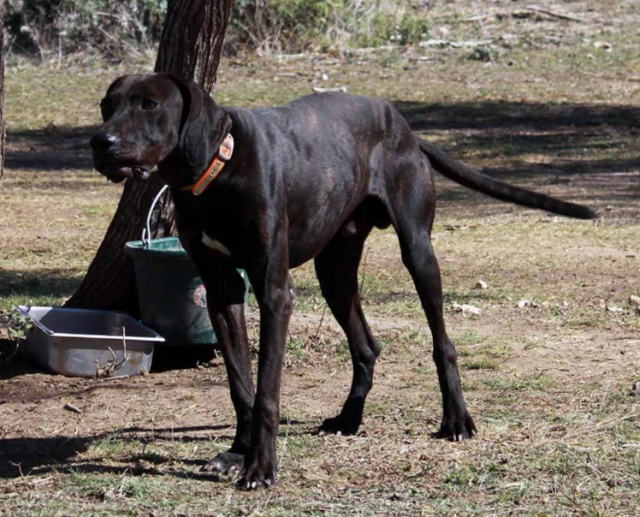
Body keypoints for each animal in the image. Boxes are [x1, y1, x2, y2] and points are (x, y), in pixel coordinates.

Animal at [89, 73, 596, 488]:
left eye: (150, 105)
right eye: (106, 105)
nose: (100, 141)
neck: (217, 171)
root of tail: (402, 124)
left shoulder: (274, 293)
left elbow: (268, 390)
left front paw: (261, 467)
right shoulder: (221, 294)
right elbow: (240, 385)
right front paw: (238, 453)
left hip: (418, 253)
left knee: (442, 341)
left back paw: (456, 419)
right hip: (334, 271)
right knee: (366, 346)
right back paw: (349, 418)